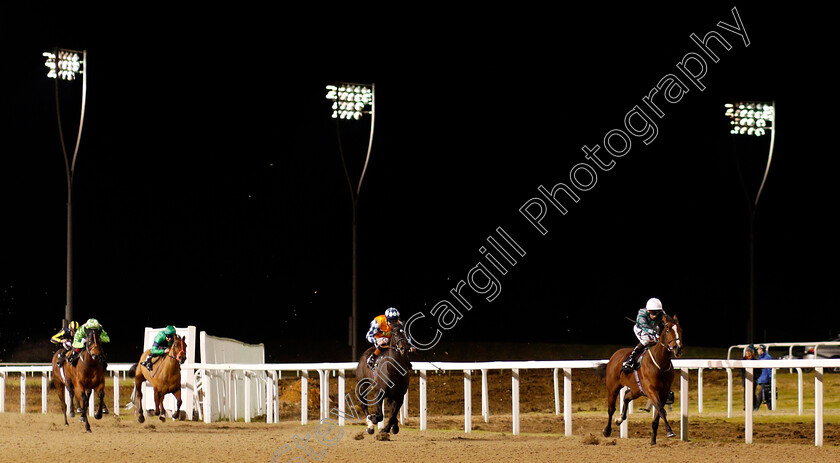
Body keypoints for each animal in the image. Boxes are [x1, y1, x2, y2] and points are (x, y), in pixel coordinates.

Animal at [604, 314, 684, 444]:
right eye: (667, 330)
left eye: (680, 330)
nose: (678, 347)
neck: (660, 364)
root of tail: (615, 354)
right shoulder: (652, 390)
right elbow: (661, 410)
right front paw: (669, 431)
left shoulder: (664, 392)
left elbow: (658, 414)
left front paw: (653, 440)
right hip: (613, 388)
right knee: (611, 409)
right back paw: (607, 430)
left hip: (636, 390)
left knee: (626, 397)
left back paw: (620, 419)